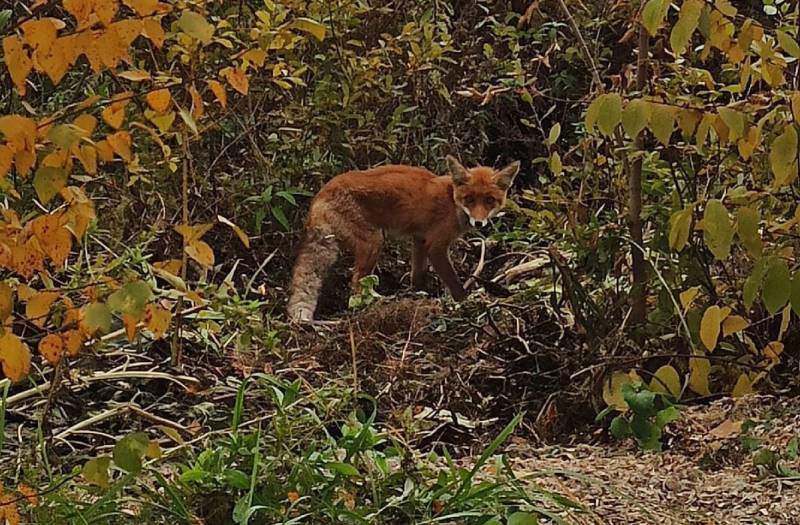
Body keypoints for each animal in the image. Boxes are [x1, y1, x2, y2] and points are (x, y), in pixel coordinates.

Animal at [286, 154, 520, 322]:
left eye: (489, 200)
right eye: (469, 199)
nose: (479, 223)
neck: (452, 203)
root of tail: (320, 195)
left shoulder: (420, 240)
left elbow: (418, 275)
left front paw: (418, 294)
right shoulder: (436, 245)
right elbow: (453, 282)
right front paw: (465, 301)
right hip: (374, 242)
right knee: (356, 286)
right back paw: (373, 303)